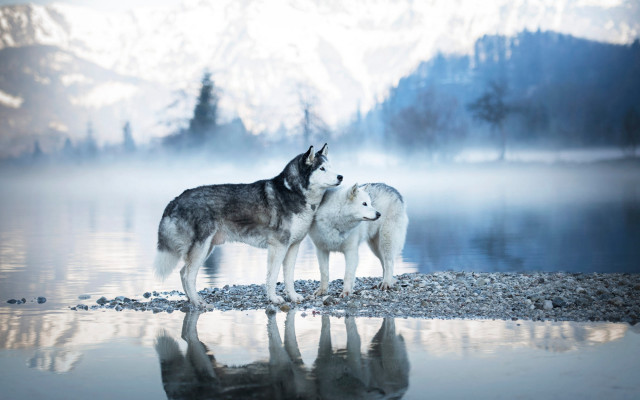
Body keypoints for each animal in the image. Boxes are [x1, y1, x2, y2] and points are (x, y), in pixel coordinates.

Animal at [154, 144, 342, 306]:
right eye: (322, 169)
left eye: (331, 167)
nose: (341, 176)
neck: (293, 191)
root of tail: (175, 199)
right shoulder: (278, 246)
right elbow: (272, 276)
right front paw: (273, 298)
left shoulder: (292, 246)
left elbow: (289, 277)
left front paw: (293, 297)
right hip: (202, 247)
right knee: (188, 275)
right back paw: (198, 303)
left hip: (206, 248)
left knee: (182, 272)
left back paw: (191, 299)